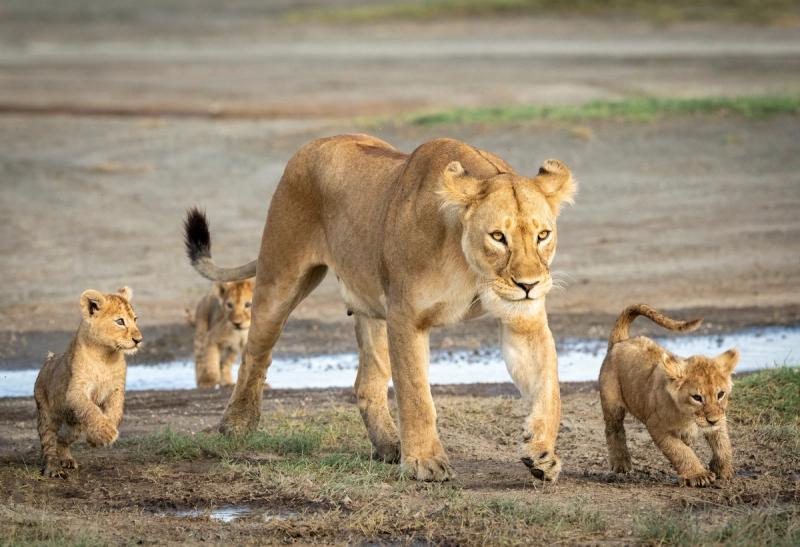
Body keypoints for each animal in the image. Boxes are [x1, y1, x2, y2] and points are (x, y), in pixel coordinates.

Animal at [34, 287, 142, 478]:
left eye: (135, 319)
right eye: (120, 321)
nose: (139, 339)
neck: (106, 356)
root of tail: (49, 360)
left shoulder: (116, 390)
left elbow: (115, 412)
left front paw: (96, 439)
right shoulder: (75, 391)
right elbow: (91, 409)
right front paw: (106, 434)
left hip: (74, 427)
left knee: (61, 439)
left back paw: (67, 460)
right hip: (46, 413)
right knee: (49, 442)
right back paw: (53, 468)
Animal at [183, 134, 576, 481]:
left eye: (543, 235)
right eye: (497, 237)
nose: (529, 285)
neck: (471, 267)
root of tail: (313, 144)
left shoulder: (523, 320)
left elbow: (548, 387)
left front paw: (542, 453)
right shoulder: (406, 317)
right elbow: (416, 395)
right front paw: (425, 463)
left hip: (373, 309)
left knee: (367, 383)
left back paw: (389, 445)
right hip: (280, 279)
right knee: (255, 353)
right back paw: (237, 424)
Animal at [599, 304, 738, 487]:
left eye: (720, 394)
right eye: (697, 397)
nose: (712, 420)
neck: (688, 416)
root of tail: (621, 341)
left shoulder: (720, 416)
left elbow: (723, 443)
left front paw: (723, 468)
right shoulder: (656, 426)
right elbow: (680, 451)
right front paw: (698, 474)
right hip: (612, 405)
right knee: (614, 430)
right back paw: (621, 464)